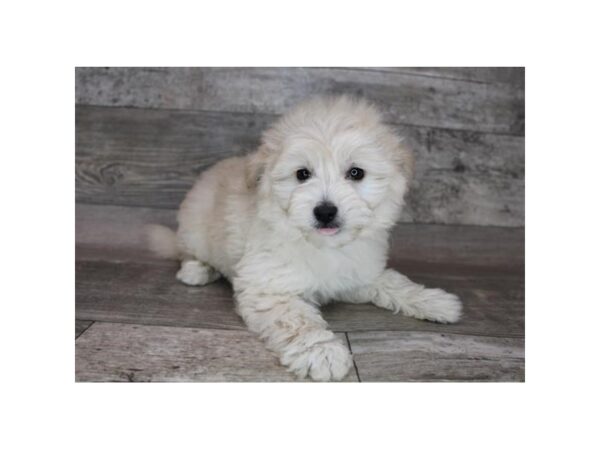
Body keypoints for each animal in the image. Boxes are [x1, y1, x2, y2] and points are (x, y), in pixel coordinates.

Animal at [148, 95, 462, 380]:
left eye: (356, 173)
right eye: (302, 174)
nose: (325, 211)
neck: (323, 245)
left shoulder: (357, 275)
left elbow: (392, 282)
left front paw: (433, 301)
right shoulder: (270, 289)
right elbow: (297, 320)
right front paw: (322, 352)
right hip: (195, 228)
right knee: (186, 251)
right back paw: (196, 270)